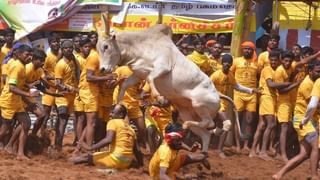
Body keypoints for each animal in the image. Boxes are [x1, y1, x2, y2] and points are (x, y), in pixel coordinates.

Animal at [97, 24, 240, 153]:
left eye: (106, 46)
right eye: (98, 48)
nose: (102, 69)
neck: (142, 47)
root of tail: (218, 95)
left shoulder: (163, 66)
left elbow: (151, 77)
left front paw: (159, 97)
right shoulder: (138, 74)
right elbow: (125, 85)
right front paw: (119, 104)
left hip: (199, 105)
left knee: (210, 124)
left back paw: (188, 127)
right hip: (187, 113)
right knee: (206, 134)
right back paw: (203, 155)